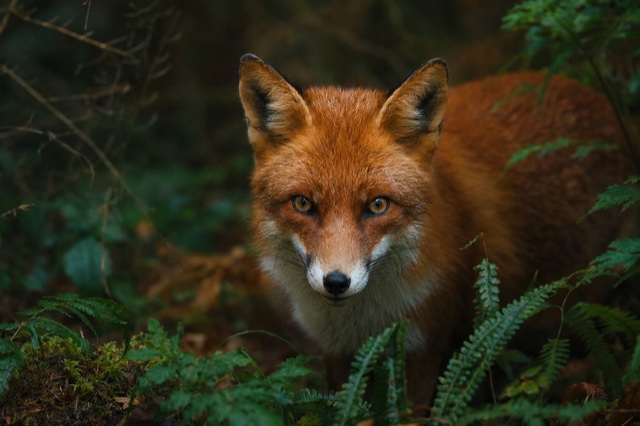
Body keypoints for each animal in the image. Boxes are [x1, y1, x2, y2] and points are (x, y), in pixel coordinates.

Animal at [238, 53, 633, 403]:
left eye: (377, 205)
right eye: (303, 204)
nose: (336, 282)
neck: (363, 321)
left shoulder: (424, 346)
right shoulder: (337, 353)